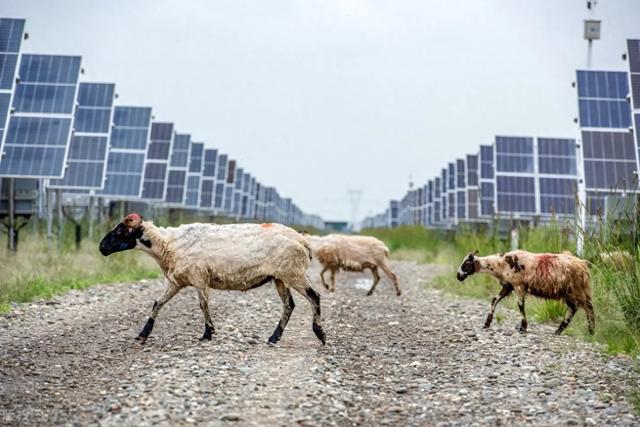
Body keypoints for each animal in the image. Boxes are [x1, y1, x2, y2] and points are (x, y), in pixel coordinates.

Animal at [100, 214, 328, 348]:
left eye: (121, 230)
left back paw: (320, 334)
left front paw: (208, 333)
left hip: (293, 273)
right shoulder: (176, 281)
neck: (167, 245)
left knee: (314, 297)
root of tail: (302, 240)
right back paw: (274, 338)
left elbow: (203, 305)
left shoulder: (199, 277)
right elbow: (158, 304)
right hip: (281, 277)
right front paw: (143, 334)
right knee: (289, 305)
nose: (102, 247)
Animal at [456, 249, 596, 336]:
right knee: (572, 309)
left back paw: (591, 332)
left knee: (589, 309)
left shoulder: (519, 286)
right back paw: (558, 331)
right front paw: (487, 323)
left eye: (466, 264)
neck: (500, 264)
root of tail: (584, 265)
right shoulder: (508, 286)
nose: (458, 276)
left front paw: (523, 328)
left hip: (578, 290)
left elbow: (520, 306)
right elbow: (494, 300)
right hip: (568, 292)